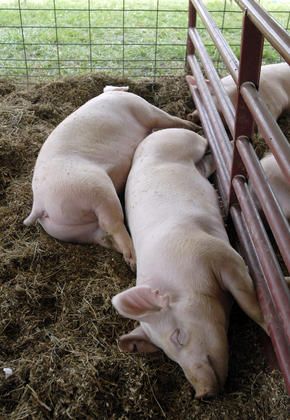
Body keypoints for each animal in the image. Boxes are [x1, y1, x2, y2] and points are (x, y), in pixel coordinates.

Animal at [23, 87, 196, 270]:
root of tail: (39, 203)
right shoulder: (144, 109)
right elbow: (166, 118)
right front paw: (193, 126)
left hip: (74, 231)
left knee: (105, 237)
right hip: (96, 190)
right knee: (113, 224)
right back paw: (134, 260)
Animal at [111, 128, 266, 398]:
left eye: (178, 336)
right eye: (168, 355)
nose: (202, 393)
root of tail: (151, 137)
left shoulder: (219, 254)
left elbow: (248, 302)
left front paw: (270, 323)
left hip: (185, 142)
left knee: (205, 141)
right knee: (206, 165)